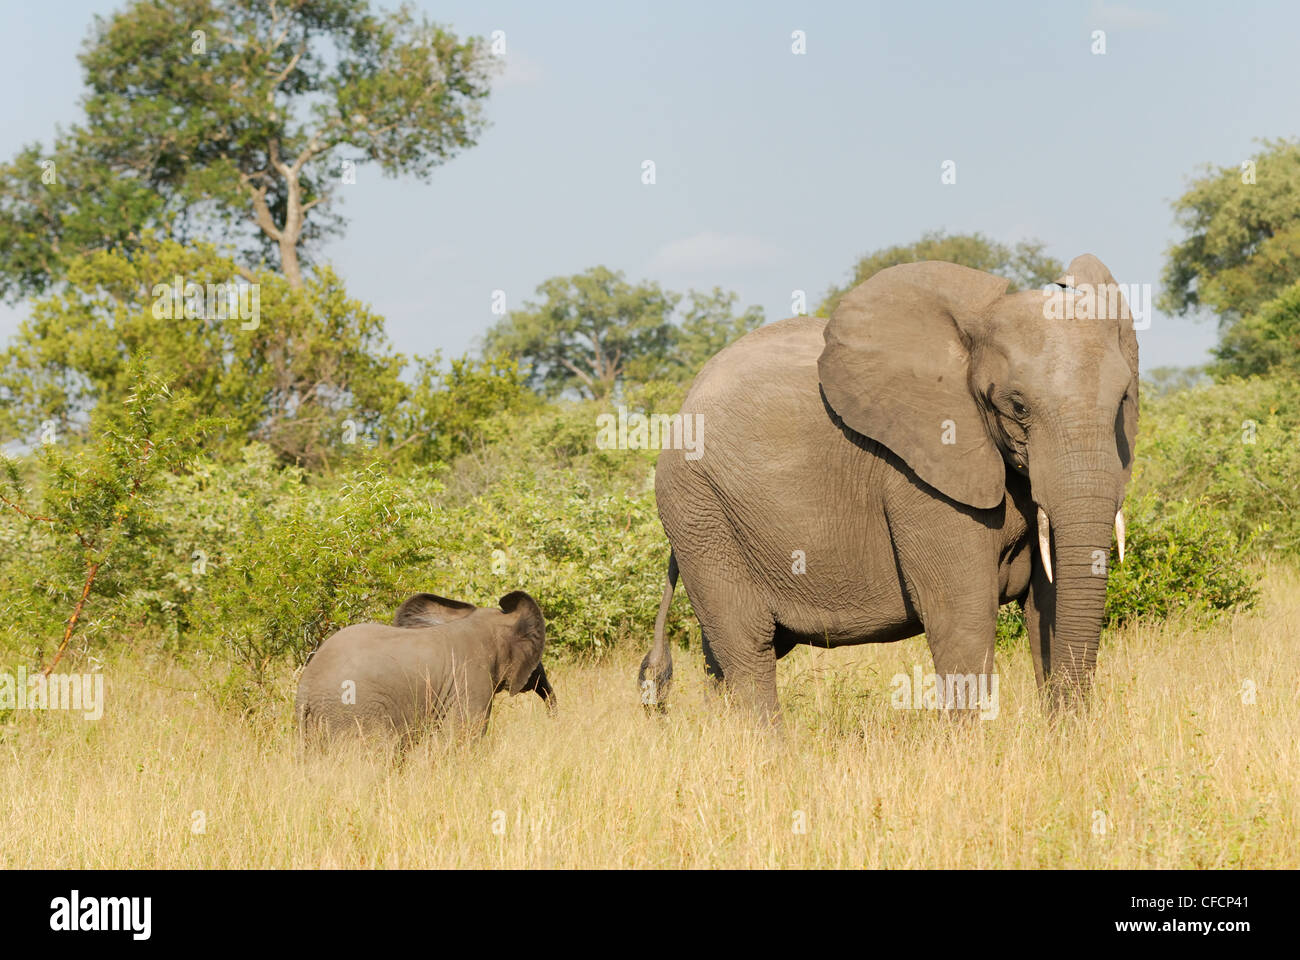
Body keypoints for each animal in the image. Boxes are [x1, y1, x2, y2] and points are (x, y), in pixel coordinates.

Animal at [638, 255, 1138, 722]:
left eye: (1122, 400)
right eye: (1017, 406)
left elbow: (1047, 607)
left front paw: (1064, 738)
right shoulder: (917, 476)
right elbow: (963, 616)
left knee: (723, 658)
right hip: (699, 512)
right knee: (748, 647)